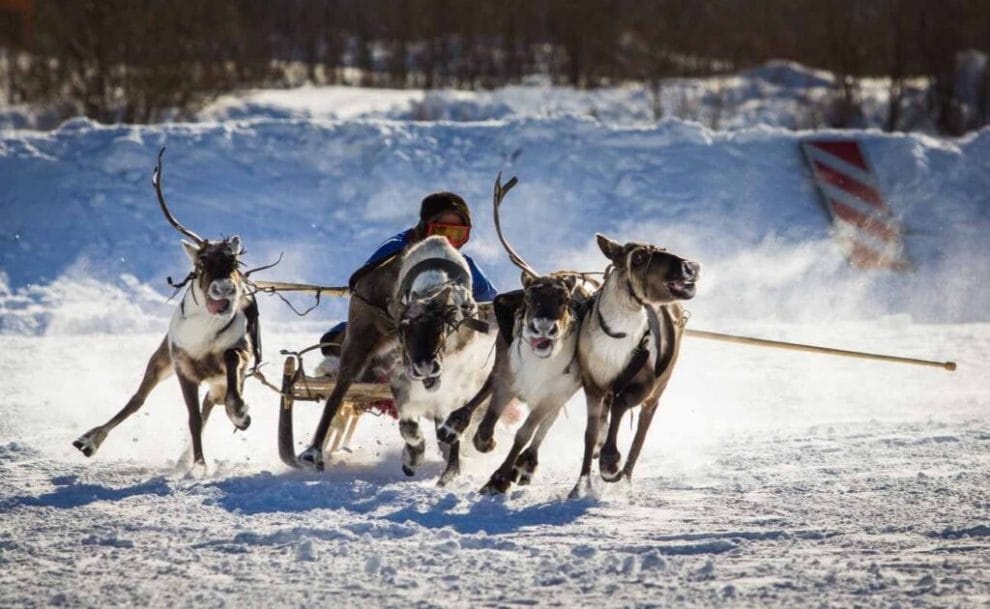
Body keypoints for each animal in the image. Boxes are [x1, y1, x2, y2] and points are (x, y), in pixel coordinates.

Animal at [72, 149, 261, 472]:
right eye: (202, 261)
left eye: (235, 261)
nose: (225, 287)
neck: (203, 338)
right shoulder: (182, 365)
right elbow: (192, 418)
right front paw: (199, 465)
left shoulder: (238, 355)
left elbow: (232, 366)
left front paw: (241, 414)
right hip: (159, 359)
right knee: (137, 400)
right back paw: (89, 441)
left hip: (216, 380)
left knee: (213, 400)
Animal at [435, 174, 593, 494]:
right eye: (530, 297)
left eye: (564, 301)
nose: (543, 326)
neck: (537, 367)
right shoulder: (507, 375)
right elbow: (486, 422)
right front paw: (484, 442)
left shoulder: (552, 395)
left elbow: (525, 433)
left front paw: (500, 478)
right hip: (501, 356)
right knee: (481, 393)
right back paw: (452, 426)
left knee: (542, 430)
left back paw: (526, 467)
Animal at [569, 234, 700, 499]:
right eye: (638, 257)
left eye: (663, 249)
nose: (690, 266)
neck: (617, 335)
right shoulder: (593, 385)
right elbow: (589, 434)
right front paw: (581, 485)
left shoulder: (644, 383)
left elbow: (621, 407)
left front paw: (610, 462)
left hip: (658, 388)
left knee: (641, 431)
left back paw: (625, 477)